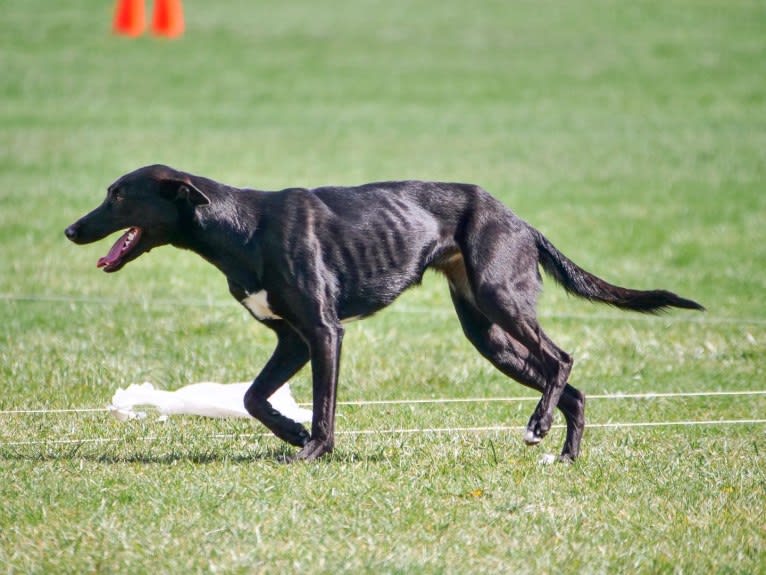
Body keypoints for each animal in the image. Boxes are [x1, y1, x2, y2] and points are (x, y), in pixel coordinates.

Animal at [64, 164, 704, 462]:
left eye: (118, 195)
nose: (71, 229)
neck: (241, 227)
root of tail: (519, 220)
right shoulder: (292, 340)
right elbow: (252, 398)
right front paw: (293, 432)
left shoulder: (324, 332)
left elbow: (323, 406)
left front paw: (313, 450)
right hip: (488, 335)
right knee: (568, 385)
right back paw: (563, 452)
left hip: (502, 299)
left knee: (562, 358)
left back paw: (539, 425)